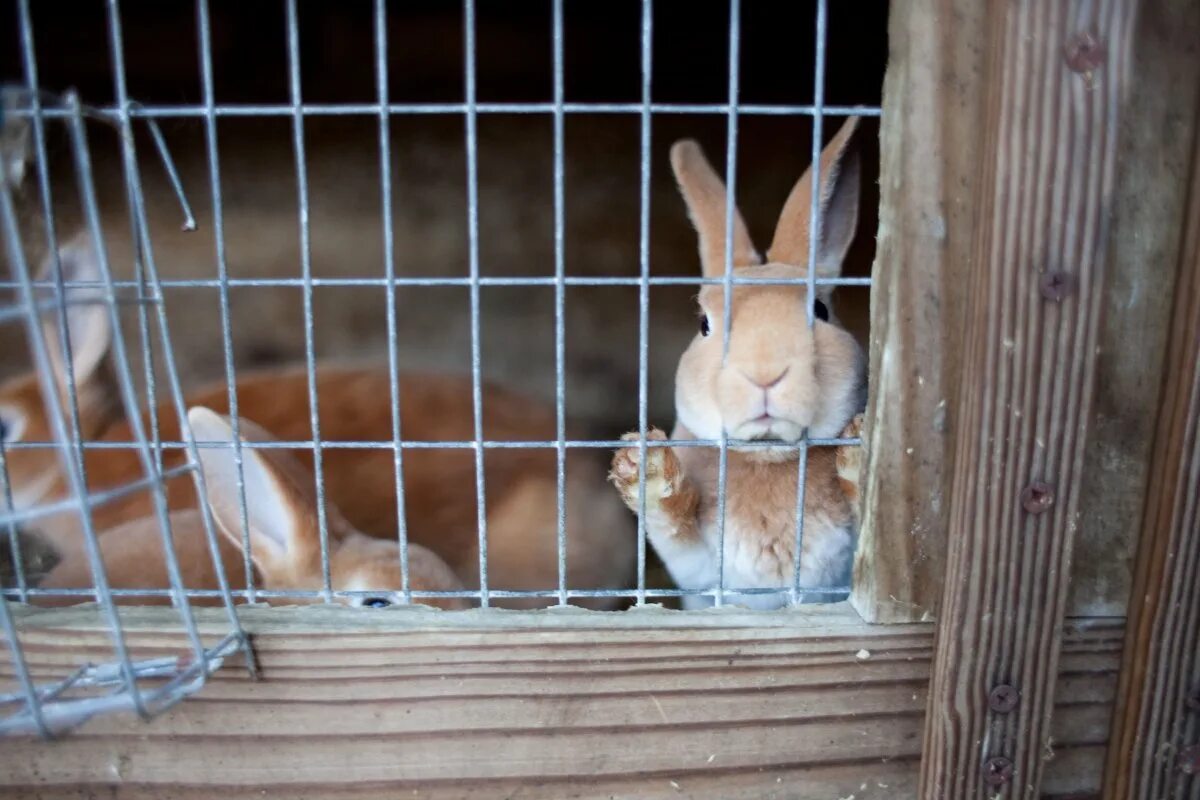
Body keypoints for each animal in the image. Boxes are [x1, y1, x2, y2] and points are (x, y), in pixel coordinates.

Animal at [609, 115, 864, 609]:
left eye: (821, 310)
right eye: (705, 324)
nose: (764, 373)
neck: (767, 458)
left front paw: (860, 451)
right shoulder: (699, 570)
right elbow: (673, 526)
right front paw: (644, 466)